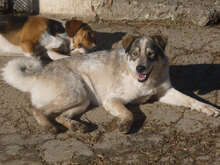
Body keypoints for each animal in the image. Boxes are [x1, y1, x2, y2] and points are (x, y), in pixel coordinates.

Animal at [1, 35, 220, 134]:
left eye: (151, 54)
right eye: (134, 54)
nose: (140, 68)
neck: (145, 81)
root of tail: (39, 74)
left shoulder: (165, 92)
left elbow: (191, 100)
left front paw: (208, 108)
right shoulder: (112, 100)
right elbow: (130, 113)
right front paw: (125, 124)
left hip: (83, 100)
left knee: (61, 116)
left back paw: (75, 126)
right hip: (75, 93)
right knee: (37, 109)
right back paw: (48, 126)